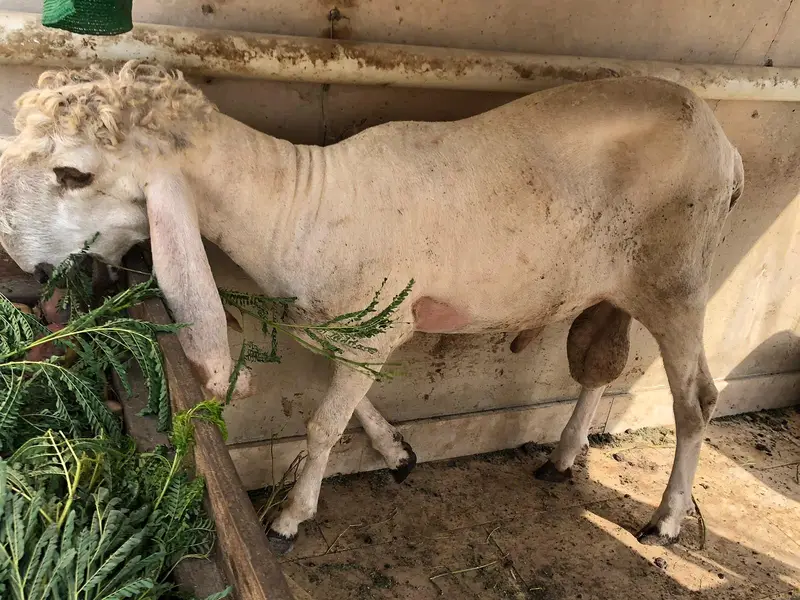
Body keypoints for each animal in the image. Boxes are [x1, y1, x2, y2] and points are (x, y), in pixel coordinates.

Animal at [0, 61, 744, 555]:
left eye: (74, 173)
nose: (20, 259)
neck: (298, 202)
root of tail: (726, 144)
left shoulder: (376, 331)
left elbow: (324, 422)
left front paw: (292, 512)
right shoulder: (338, 330)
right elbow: (349, 402)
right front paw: (396, 450)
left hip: (678, 281)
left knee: (696, 400)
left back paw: (666, 520)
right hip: (617, 282)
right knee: (599, 367)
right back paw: (562, 458)